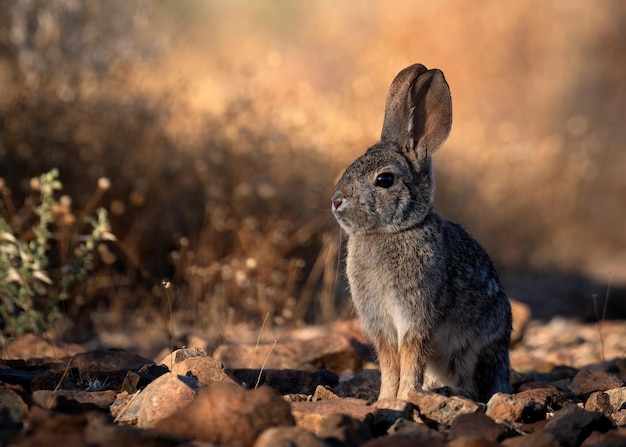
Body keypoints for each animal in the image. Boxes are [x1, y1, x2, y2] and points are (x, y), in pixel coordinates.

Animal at [330, 63, 510, 402]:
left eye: (385, 180)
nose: (336, 202)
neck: (391, 231)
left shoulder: (416, 319)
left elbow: (411, 359)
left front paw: (403, 398)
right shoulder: (381, 325)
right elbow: (390, 363)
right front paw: (385, 399)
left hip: (478, 353)